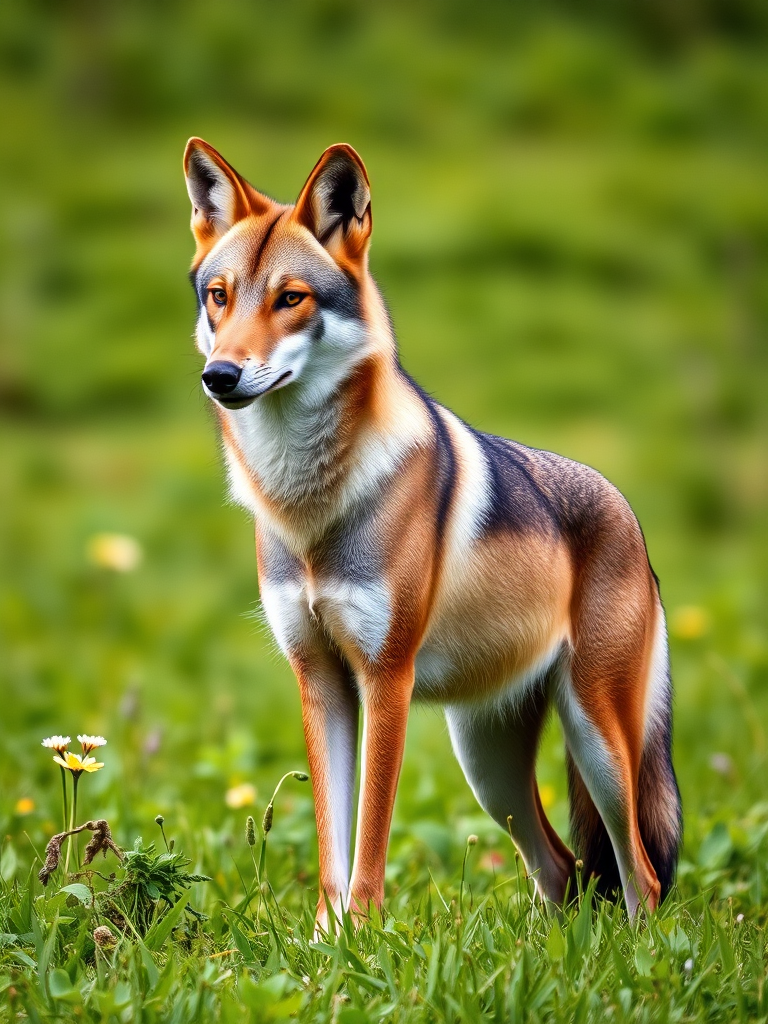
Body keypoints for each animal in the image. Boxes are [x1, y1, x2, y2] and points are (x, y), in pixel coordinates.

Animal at [183, 138, 681, 931]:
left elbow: (371, 843)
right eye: (220, 296)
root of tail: (628, 513)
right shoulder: (319, 681)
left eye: (291, 298)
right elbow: (331, 846)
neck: (309, 503)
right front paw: (326, 943)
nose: (220, 375)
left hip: (596, 742)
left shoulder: (386, 681)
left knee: (642, 876)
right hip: (488, 766)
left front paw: (360, 936)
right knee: (563, 870)